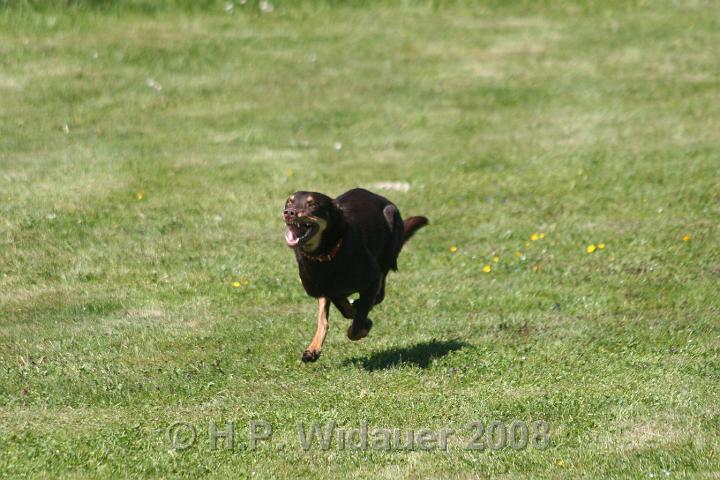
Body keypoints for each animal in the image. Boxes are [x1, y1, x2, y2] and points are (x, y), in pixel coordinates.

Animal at [283, 188, 428, 362]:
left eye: (313, 204)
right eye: (289, 202)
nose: (288, 212)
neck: (326, 254)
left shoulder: (372, 279)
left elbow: (356, 326)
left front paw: (363, 324)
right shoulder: (324, 290)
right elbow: (332, 315)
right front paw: (313, 349)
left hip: (388, 244)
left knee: (380, 294)